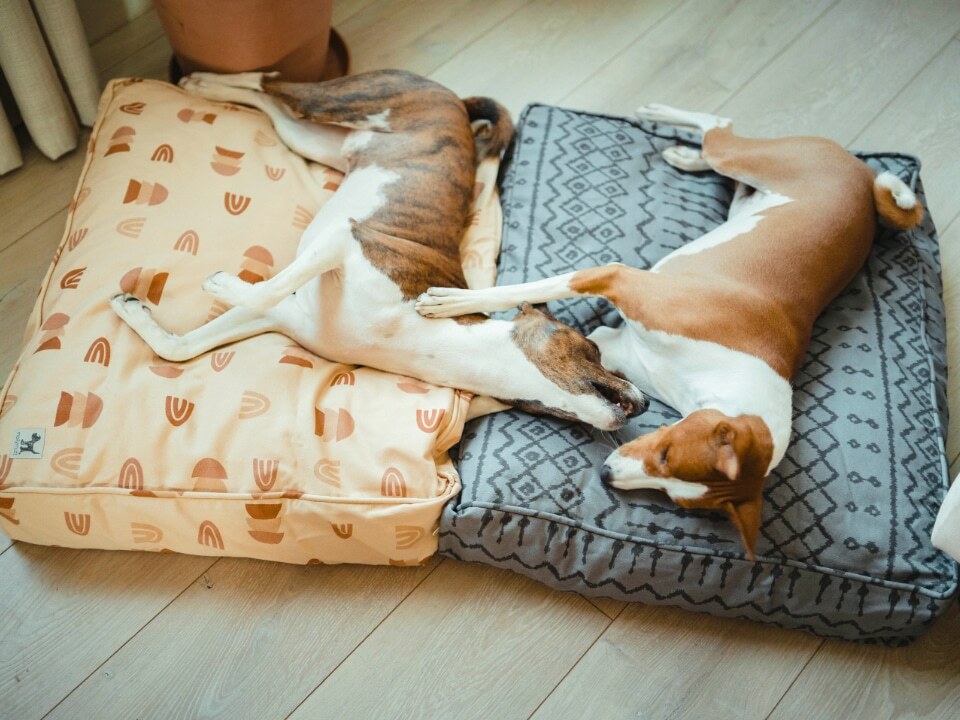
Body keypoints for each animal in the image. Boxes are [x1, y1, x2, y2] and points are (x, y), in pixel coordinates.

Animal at [112, 71, 644, 434]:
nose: (645, 404)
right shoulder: (346, 242)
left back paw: (204, 87)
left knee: (266, 102)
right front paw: (222, 282)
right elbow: (263, 289)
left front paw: (133, 309)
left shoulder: (283, 318)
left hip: (313, 137)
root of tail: (453, 98)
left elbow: (181, 347)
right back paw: (200, 79)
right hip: (340, 103)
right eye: (594, 350)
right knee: (269, 80)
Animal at [416, 104, 928, 560]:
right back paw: (663, 120)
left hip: (745, 192)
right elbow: (529, 289)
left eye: (674, 495)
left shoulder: (613, 351)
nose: (606, 478)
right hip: (745, 158)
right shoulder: (617, 277)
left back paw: (684, 154)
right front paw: (455, 302)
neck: (715, 375)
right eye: (664, 455)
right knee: (719, 126)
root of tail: (865, 179)